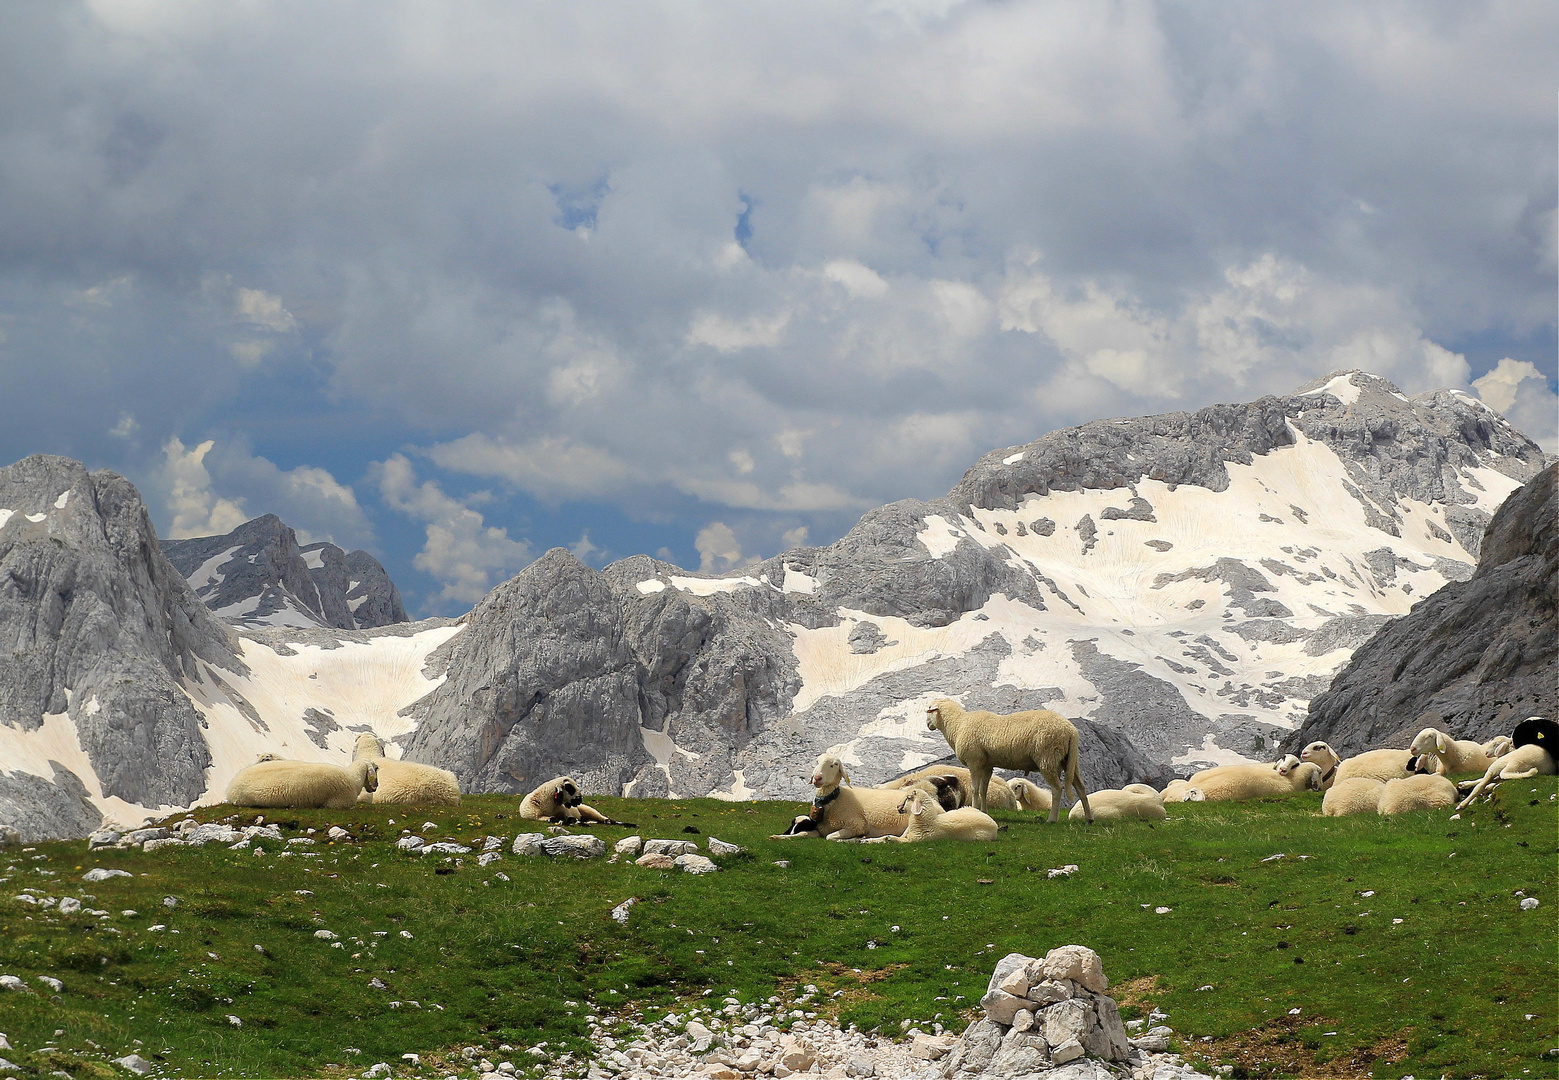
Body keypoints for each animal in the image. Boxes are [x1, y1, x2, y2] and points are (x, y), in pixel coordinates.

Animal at [770, 751, 910, 841]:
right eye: (817, 762)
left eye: (835, 764)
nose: (817, 778)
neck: (835, 801)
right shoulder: (819, 828)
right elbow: (803, 833)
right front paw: (777, 836)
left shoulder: (856, 825)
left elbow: (830, 837)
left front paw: (855, 838)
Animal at [916, 695, 1091, 822]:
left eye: (929, 710)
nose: (927, 725)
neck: (958, 724)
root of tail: (1071, 730)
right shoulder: (987, 765)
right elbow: (983, 790)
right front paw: (984, 812)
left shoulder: (974, 762)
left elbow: (974, 789)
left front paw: (974, 809)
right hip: (1069, 760)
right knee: (1081, 788)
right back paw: (1089, 819)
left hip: (1048, 758)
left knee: (1057, 789)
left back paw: (1052, 819)